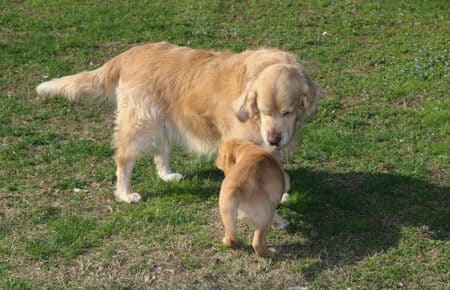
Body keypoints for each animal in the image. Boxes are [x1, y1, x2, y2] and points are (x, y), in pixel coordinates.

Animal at [37, 41, 320, 204]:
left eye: (287, 112)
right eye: (263, 110)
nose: (274, 138)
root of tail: (130, 53)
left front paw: (281, 191)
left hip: (163, 121)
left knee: (160, 152)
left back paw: (167, 175)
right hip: (142, 121)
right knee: (124, 157)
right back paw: (126, 194)